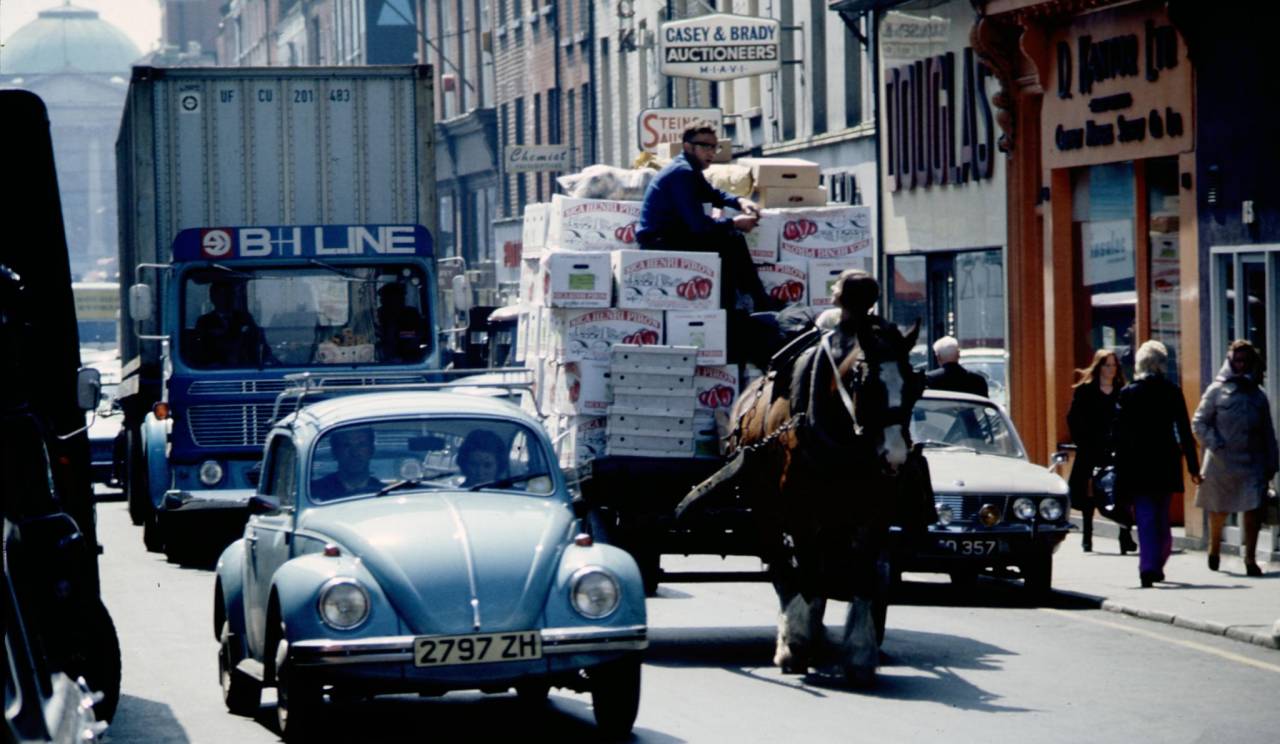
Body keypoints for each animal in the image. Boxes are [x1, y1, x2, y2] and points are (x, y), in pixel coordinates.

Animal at [727, 308, 926, 686]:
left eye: (913, 385)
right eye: (867, 384)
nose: (894, 458)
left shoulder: (872, 517)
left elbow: (861, 576)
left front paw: (860, 655)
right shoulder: (801, 514)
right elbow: (806, 574)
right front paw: (795, 646)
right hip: (766, 511)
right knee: (784, 570)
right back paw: (791, 634)